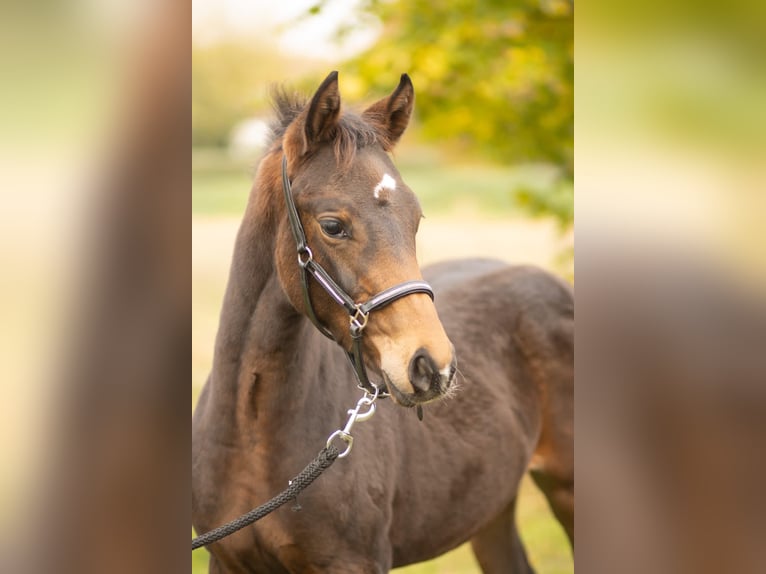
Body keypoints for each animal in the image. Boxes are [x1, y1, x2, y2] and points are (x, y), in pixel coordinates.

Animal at [194, 73, 576, 574]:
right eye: (332, 225)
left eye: (416, 219)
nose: (433, 367)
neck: (250, 439)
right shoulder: (227, 562)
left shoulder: (355, 563)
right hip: (492, 505)